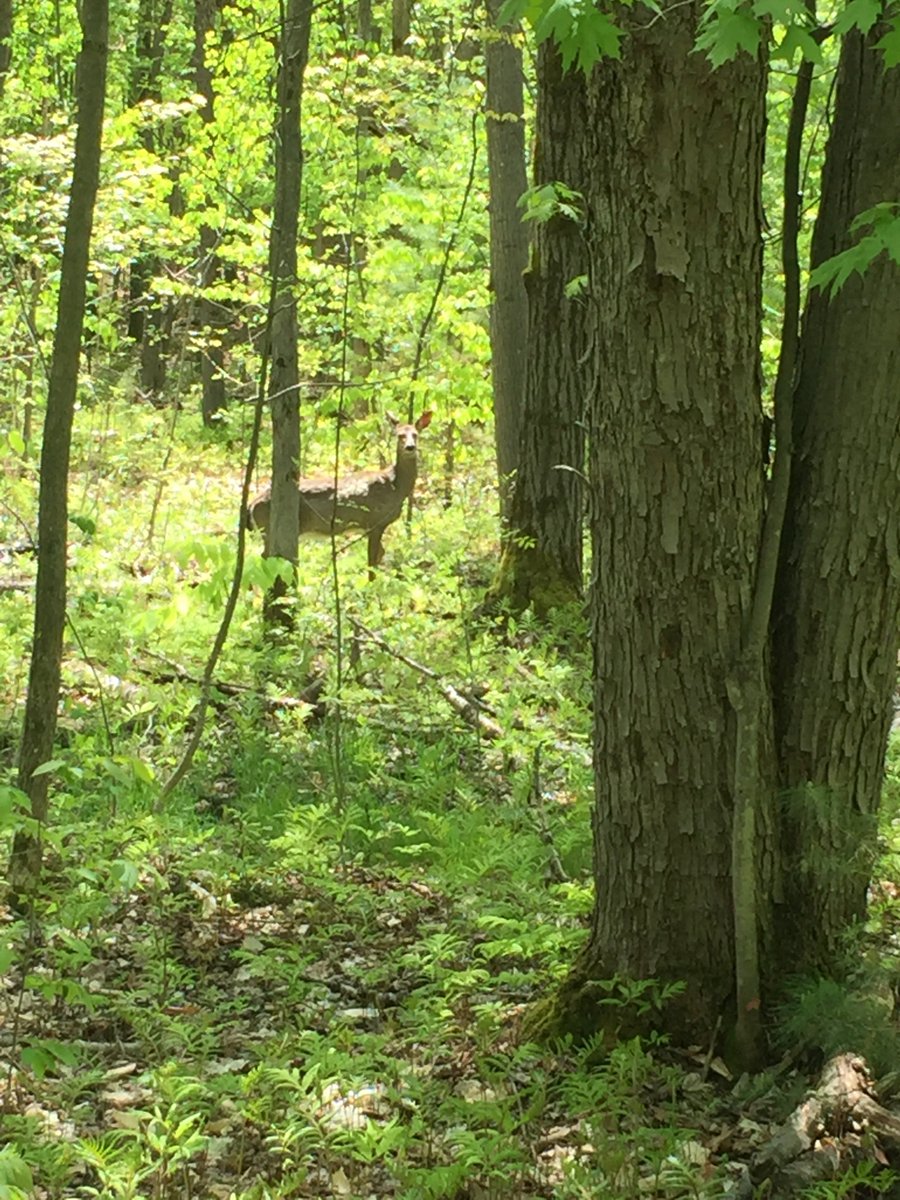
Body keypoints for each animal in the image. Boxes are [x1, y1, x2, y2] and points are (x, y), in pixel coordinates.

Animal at [246, 411, 433, 576]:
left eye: (415, 434)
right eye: (400, 435)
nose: (410, 447)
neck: (395, 486)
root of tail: (252, 504)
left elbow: (379, 556)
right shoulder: (375, 521)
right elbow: (371, 562)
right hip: (268, 528)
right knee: (265, 558)